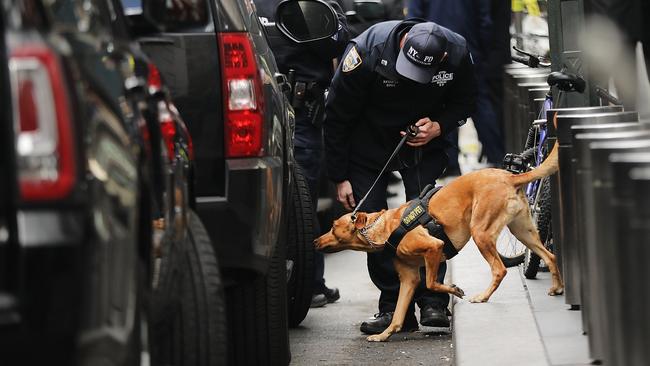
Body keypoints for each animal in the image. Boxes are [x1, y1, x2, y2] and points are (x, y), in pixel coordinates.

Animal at [314, 144, 560, 344]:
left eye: (333, 226)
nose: (315, 240)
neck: (386, 228)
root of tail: (510, 177)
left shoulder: (434, 247)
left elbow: (432, 283)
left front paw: (454, 290)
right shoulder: (409, 279)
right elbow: (398, 315)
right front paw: (384, 335)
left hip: (481, 233)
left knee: (500, 269)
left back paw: (483, 296)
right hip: (523, 232)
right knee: (550, 256)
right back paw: (557, 288)